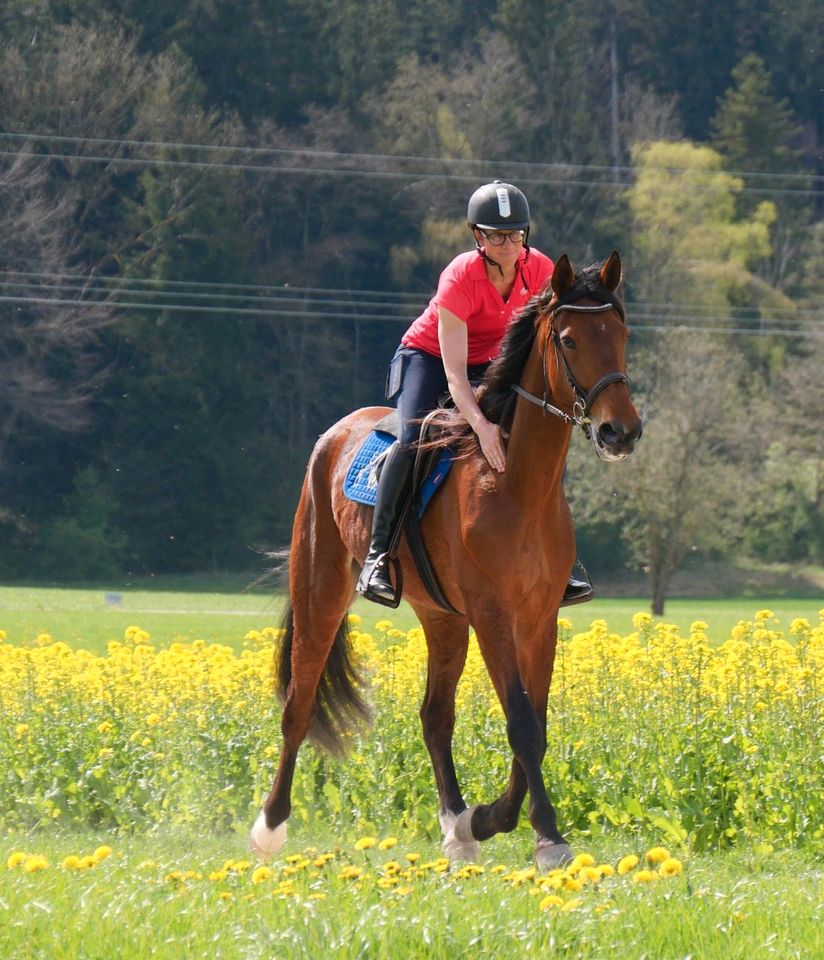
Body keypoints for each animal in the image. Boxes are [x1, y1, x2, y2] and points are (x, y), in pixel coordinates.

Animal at [251, 249, 644, 872]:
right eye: (569, 339)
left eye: (621, 334)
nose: (620, 431)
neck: (516, 483)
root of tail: (334, 434)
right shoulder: (493, 616)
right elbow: (522, 724)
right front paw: (546, 836)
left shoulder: (539, 620)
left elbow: (536, 724)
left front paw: (489, 819)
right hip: (321, 590)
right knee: (299, 704)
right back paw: (269, 826)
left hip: (442, 619)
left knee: (434, 716)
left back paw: (458, 826)